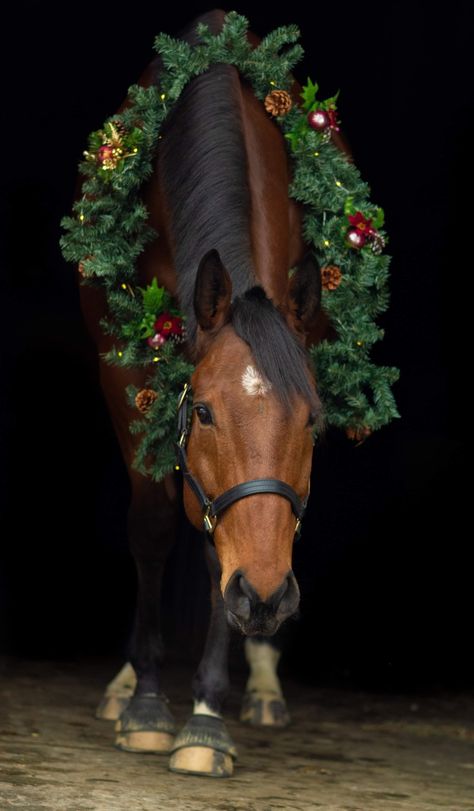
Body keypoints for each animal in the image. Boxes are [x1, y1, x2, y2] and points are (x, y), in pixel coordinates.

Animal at [78, 9, 340, 776]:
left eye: (313, 422)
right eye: (202, 411)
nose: (264, 595)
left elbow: (216, 539)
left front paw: (205, 715)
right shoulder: (121, 369)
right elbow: (155, 523)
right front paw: (146, 706)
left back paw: (261, 685)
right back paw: (126, 683)